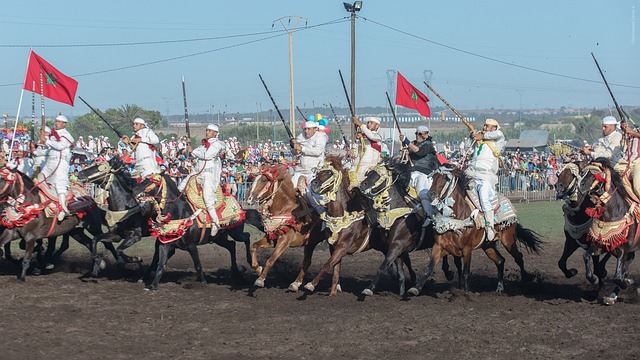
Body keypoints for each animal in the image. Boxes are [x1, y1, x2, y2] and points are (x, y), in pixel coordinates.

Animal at [408, 166, 544, 296]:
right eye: (433, 177)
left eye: (445, 178)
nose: (431, 194)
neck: (457, 220)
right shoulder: (439, 246)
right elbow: (428, 268)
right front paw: (415, 288)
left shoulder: (467, 250)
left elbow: (466, 273)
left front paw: (468, 294)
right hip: (488, 246)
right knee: (500, 261)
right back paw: (499, 287)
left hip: (508, 240)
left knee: (518, 257)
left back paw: (527, 278)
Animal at [576, 158, 636, 304]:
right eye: (583, 172)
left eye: (595, 174)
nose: (580, 185)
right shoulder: (601, 244)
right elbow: (586, 256)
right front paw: (594, 278)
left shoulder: (623, 249)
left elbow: (618, 277)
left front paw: (626, 282)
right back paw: (612, 295)